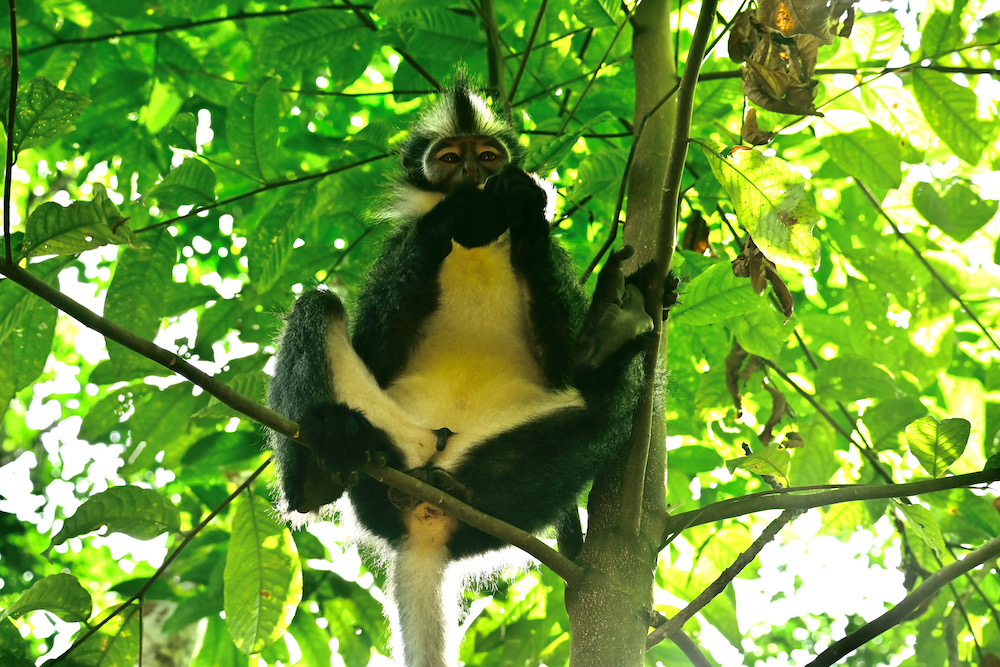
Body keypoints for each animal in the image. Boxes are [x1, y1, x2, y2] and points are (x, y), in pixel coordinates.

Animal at [266, 75, 662, 667]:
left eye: (488, 157)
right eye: (450, 159)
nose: (474, 176)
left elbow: (564, 363)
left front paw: (526, 211)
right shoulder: (395, 250)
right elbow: (376, 350)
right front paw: (446, 222)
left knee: (608, 399)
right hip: (390, 447)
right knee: (316, 308)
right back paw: (323, 461)